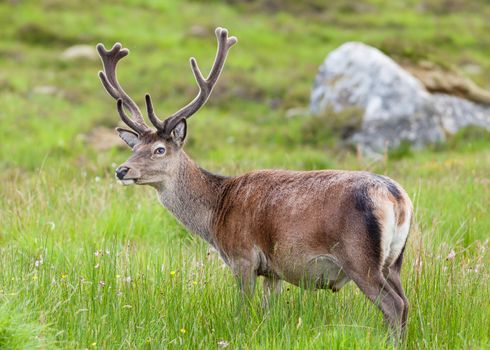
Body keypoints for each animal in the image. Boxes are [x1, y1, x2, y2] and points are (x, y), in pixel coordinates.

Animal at [96, 27, 414, 340]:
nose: (122, 170)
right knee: (405, 302)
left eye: (159, 149)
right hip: (394, 260)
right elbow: (268, 311)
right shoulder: (272, 270)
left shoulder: (242, 256)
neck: (215, 215)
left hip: (360, 257)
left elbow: (243, 311)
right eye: (134, 147)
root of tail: (397, 198)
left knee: (394, 305)